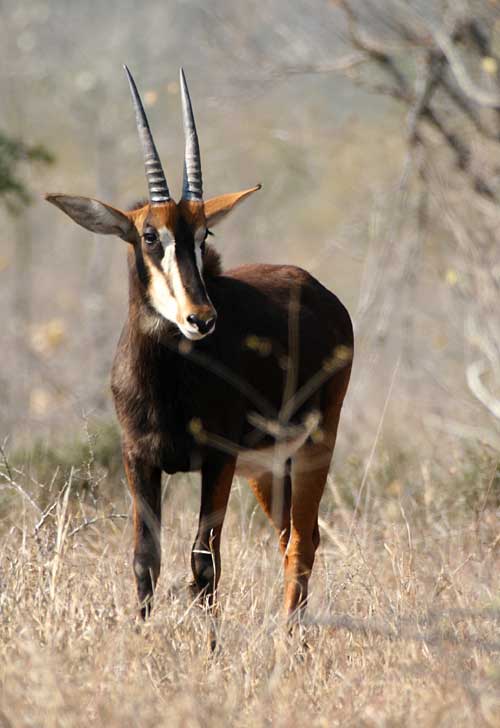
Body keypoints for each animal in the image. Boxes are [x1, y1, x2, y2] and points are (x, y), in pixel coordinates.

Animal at [46, 68, 352, 624]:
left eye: (204, 233)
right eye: (149, 236)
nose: (200, 319)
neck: (167, 382)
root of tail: (319, 290)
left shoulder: (217, 459)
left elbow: (204, 563)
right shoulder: (138, 459)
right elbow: (145, 558)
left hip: (314, 444)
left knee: (302, 541)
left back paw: (288, 640)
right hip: (266, 466)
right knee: (290, 538)